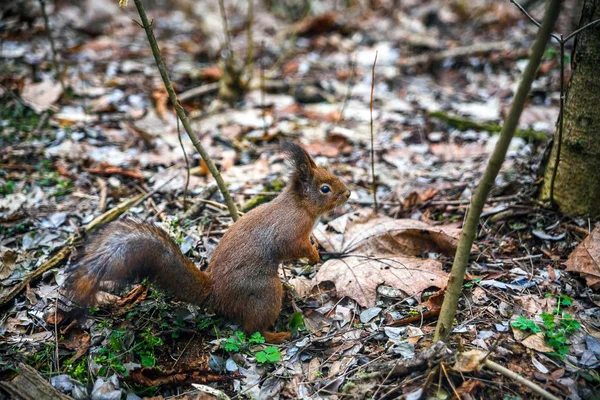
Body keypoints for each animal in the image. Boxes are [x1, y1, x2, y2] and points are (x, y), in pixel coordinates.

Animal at [64, 143, 352, 344]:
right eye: (325, 188)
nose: (348, 193)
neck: (299, 206)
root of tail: (215, 295)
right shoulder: (289, 231)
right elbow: (294, 247)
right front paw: (313, 255)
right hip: (265, 293)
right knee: (251, 330)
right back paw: (276, 336)